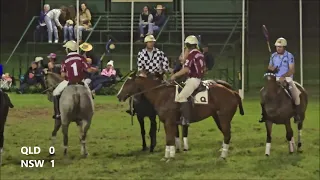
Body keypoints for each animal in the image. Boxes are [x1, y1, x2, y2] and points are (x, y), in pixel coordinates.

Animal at [116, 72, 244, 162]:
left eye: (127, 83)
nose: (118, 95)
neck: (162, 95)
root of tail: (233, 92)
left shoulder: (169, 122)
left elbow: (170, 139)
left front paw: (170, 157)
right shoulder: (167, 123)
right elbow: (170, 139)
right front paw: (167, 156)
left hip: (224, 118)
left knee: (227, 135)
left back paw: (223, 156)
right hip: (218, 117)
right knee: (226, 134)